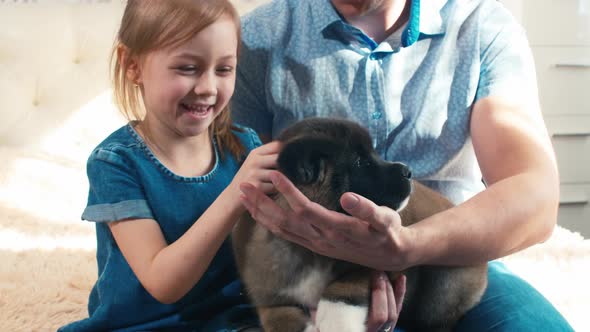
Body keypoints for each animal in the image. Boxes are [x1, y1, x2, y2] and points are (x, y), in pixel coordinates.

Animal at [234, 118, 488, 330]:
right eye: (360, 162)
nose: (408, 171)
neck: (306, 251)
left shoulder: (370, 259)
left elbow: (340, 294)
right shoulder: (270, 298)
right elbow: (279, 319)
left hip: (445, 289)